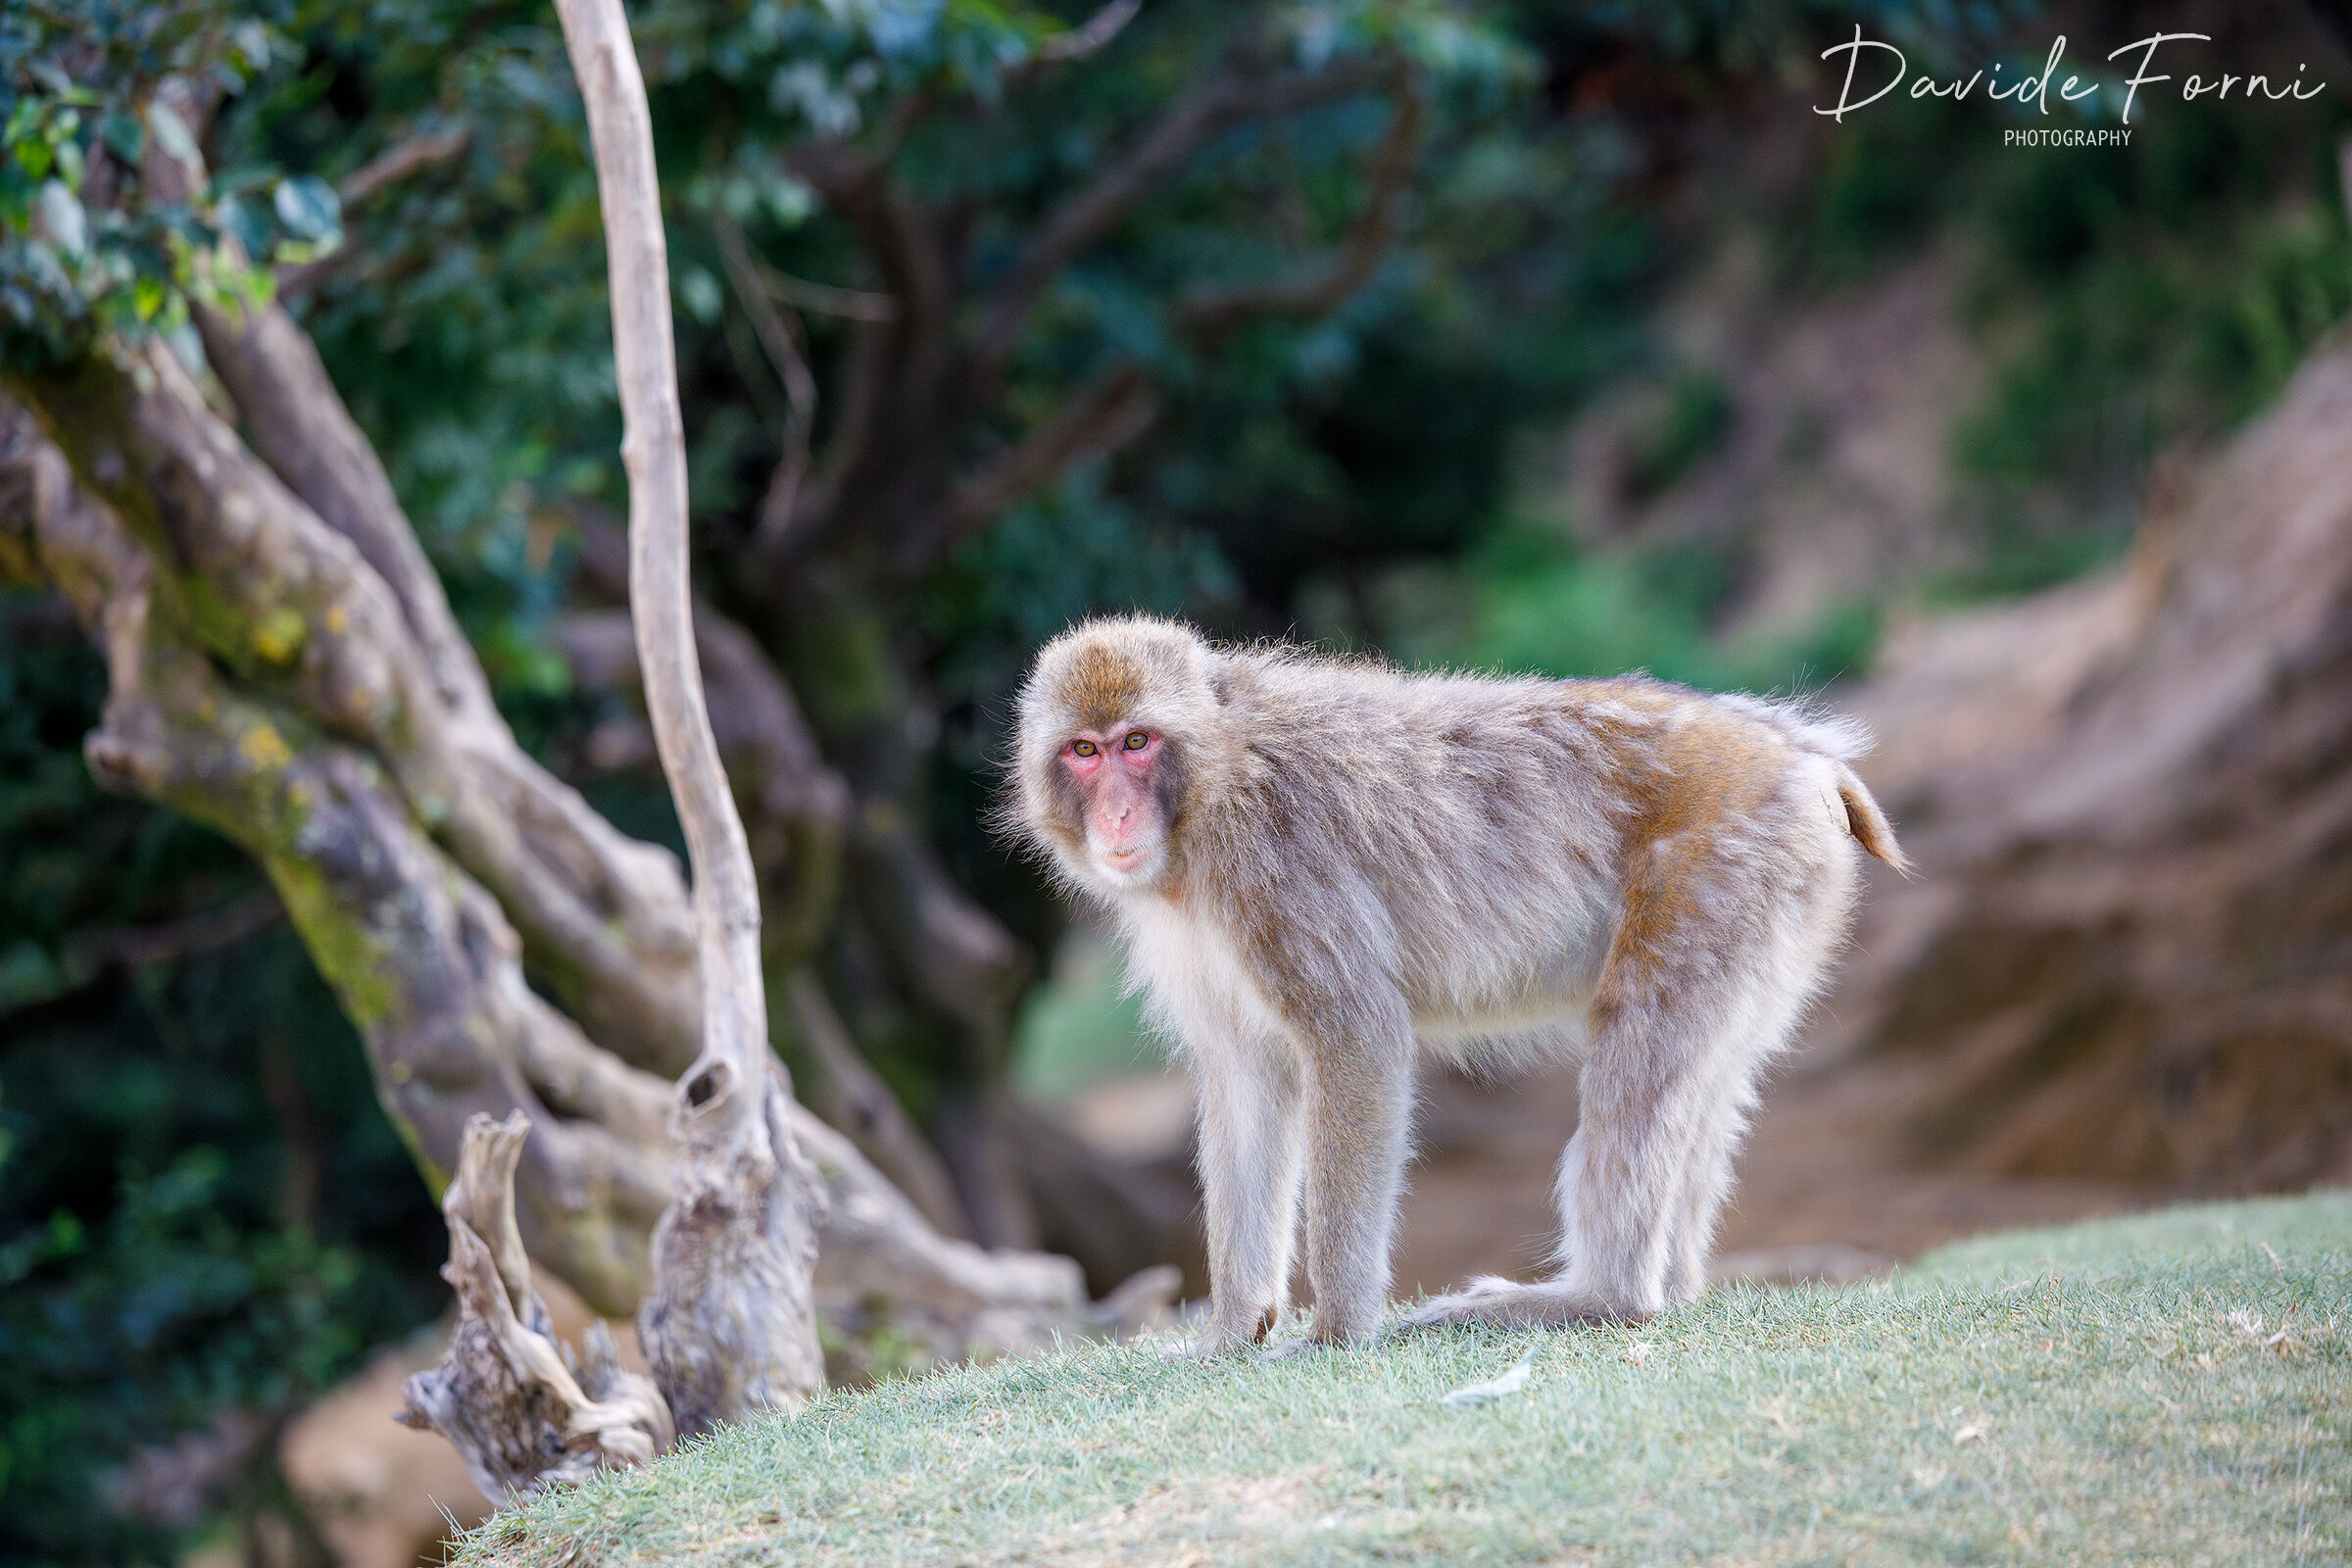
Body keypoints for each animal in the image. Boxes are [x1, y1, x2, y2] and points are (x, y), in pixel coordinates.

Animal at [1004, 615, 1907, 1357]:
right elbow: (1246, 1076)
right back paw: (1670, 1287)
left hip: (1720, 870)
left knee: (1640, 1046)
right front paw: (1230, 1329)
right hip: (1776, 909)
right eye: (1084, 751)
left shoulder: (1277, 869)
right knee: (1707, 1077)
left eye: (1138, 742)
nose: (1117, 817)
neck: (1208, 795)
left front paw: (1336, 1332)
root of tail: (1806, 757)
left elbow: (1358, 1040)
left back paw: (1598, 1299)